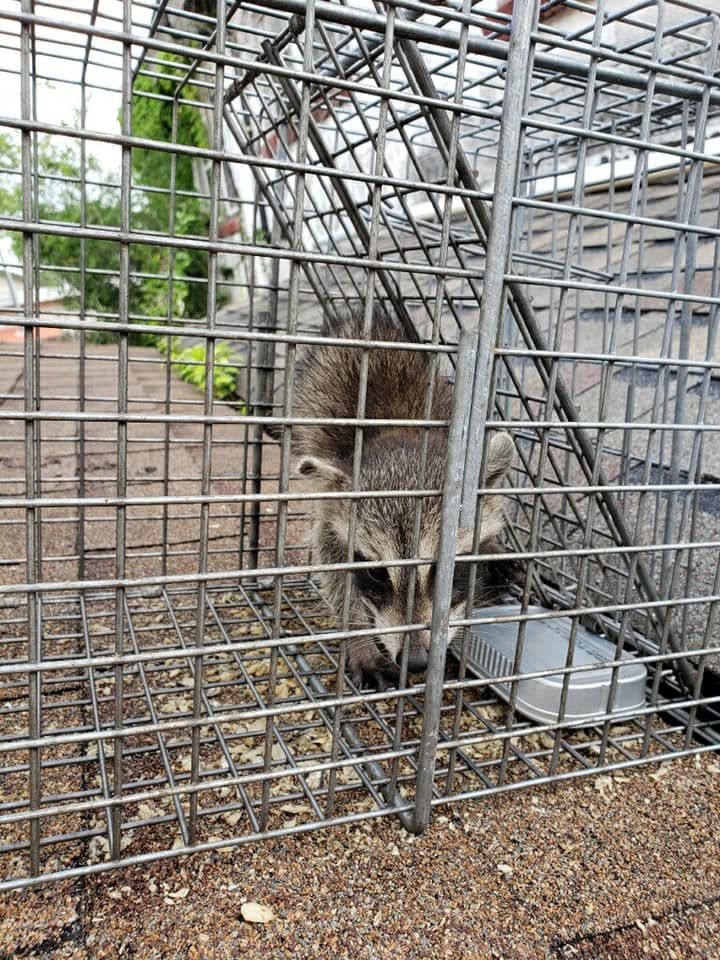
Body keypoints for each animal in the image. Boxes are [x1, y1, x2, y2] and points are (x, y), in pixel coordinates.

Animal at [292, 306, 517, 690]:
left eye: (447, 569)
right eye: (376, 573)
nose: (416, 661)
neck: (401, 433)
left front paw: (491, 547)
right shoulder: (332, 510)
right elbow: (335, 569)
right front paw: (359, 636)